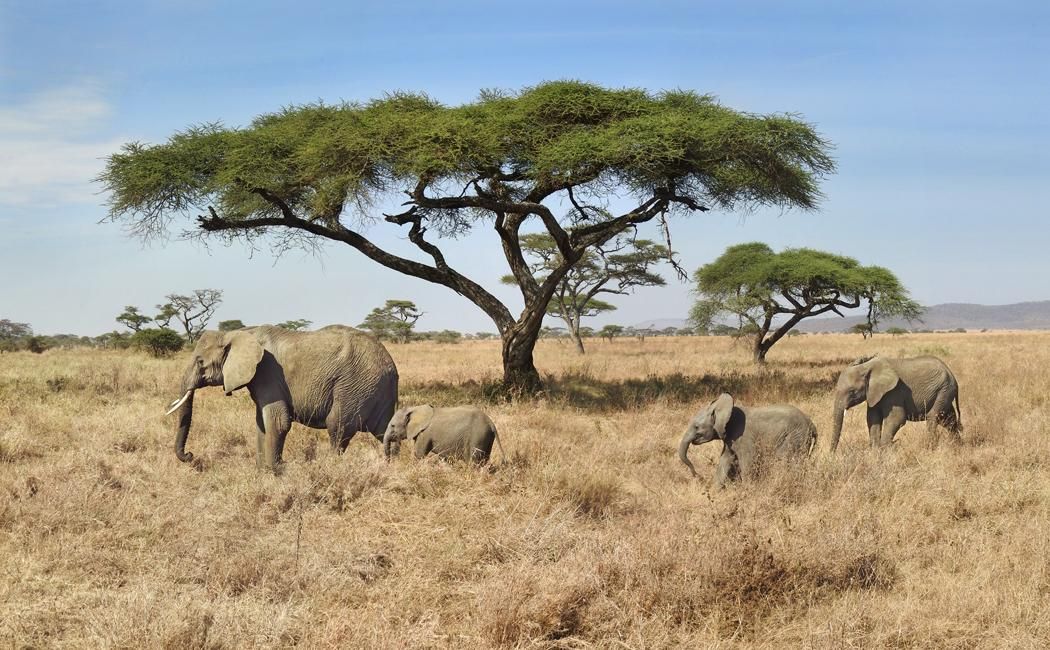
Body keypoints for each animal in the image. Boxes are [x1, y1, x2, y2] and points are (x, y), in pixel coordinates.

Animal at [165, 325, 399, 469]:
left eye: (200, 362)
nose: (191, 455)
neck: (239, 333)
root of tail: (391, 366)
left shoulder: (268, 372)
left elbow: (278, 421)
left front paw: (275, 471)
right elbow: (261, 423)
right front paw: (261, 470)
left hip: (355, 386)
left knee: (337, 426)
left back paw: (331, 468)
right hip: (374, 390)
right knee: (387, 430)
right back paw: (393, 467)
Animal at [678, 393, 817, 487]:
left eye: (696, 427)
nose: (698, 476)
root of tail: (811, 423)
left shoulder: (743, 436)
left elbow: (748, 461)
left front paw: (747, 490)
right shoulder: (730, 439)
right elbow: (725, 460)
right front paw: (714, 492)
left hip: (796, 436)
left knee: (786, 460)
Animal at [830, 355, 961, 451]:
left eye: (852, 391)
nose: (832, 455)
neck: (866, 366)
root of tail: (951, 373)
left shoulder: (894, 392)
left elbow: (897, 418)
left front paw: (885, 450)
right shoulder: (874, 393)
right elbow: (872, 419)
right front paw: (876, 452)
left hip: (944, 389)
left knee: (933, 417)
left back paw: (930, 448)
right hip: (945, 391)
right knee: (949, 420)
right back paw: (957, 447)